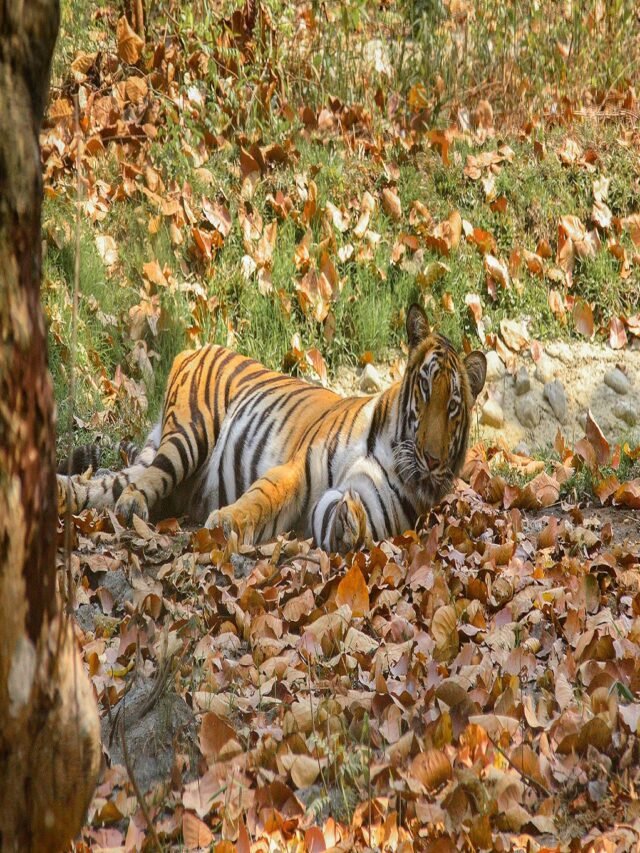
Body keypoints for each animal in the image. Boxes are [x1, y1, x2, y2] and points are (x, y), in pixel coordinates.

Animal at [58, 304, 486, 553]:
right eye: (425, 388)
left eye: (452, 406)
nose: (431, 458)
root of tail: (198, 346)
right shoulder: (299, 467)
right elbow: (261, 497)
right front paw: (225, 522)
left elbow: (341, 518)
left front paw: (352, 518)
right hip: (189, 434)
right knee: (143, 480)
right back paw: (132, 506)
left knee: (105, 485)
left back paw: (65, 495)